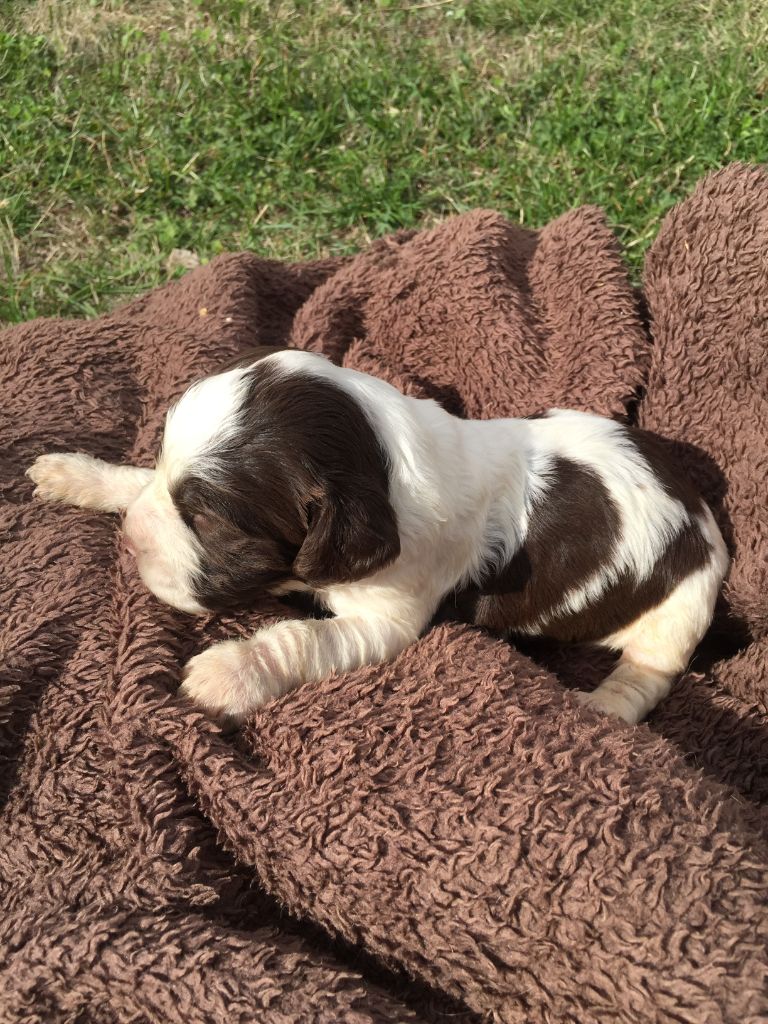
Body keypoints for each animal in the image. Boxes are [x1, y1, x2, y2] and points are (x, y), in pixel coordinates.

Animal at [27, 352, 729, 729]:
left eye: (210, 524)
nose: (130, 544)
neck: (386, 464)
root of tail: (701, 517)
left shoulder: (388, 618)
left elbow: (301, 639)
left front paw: (227, 673)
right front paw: (77, 475)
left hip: (680, 610)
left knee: (649, 673)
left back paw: (604, 706)